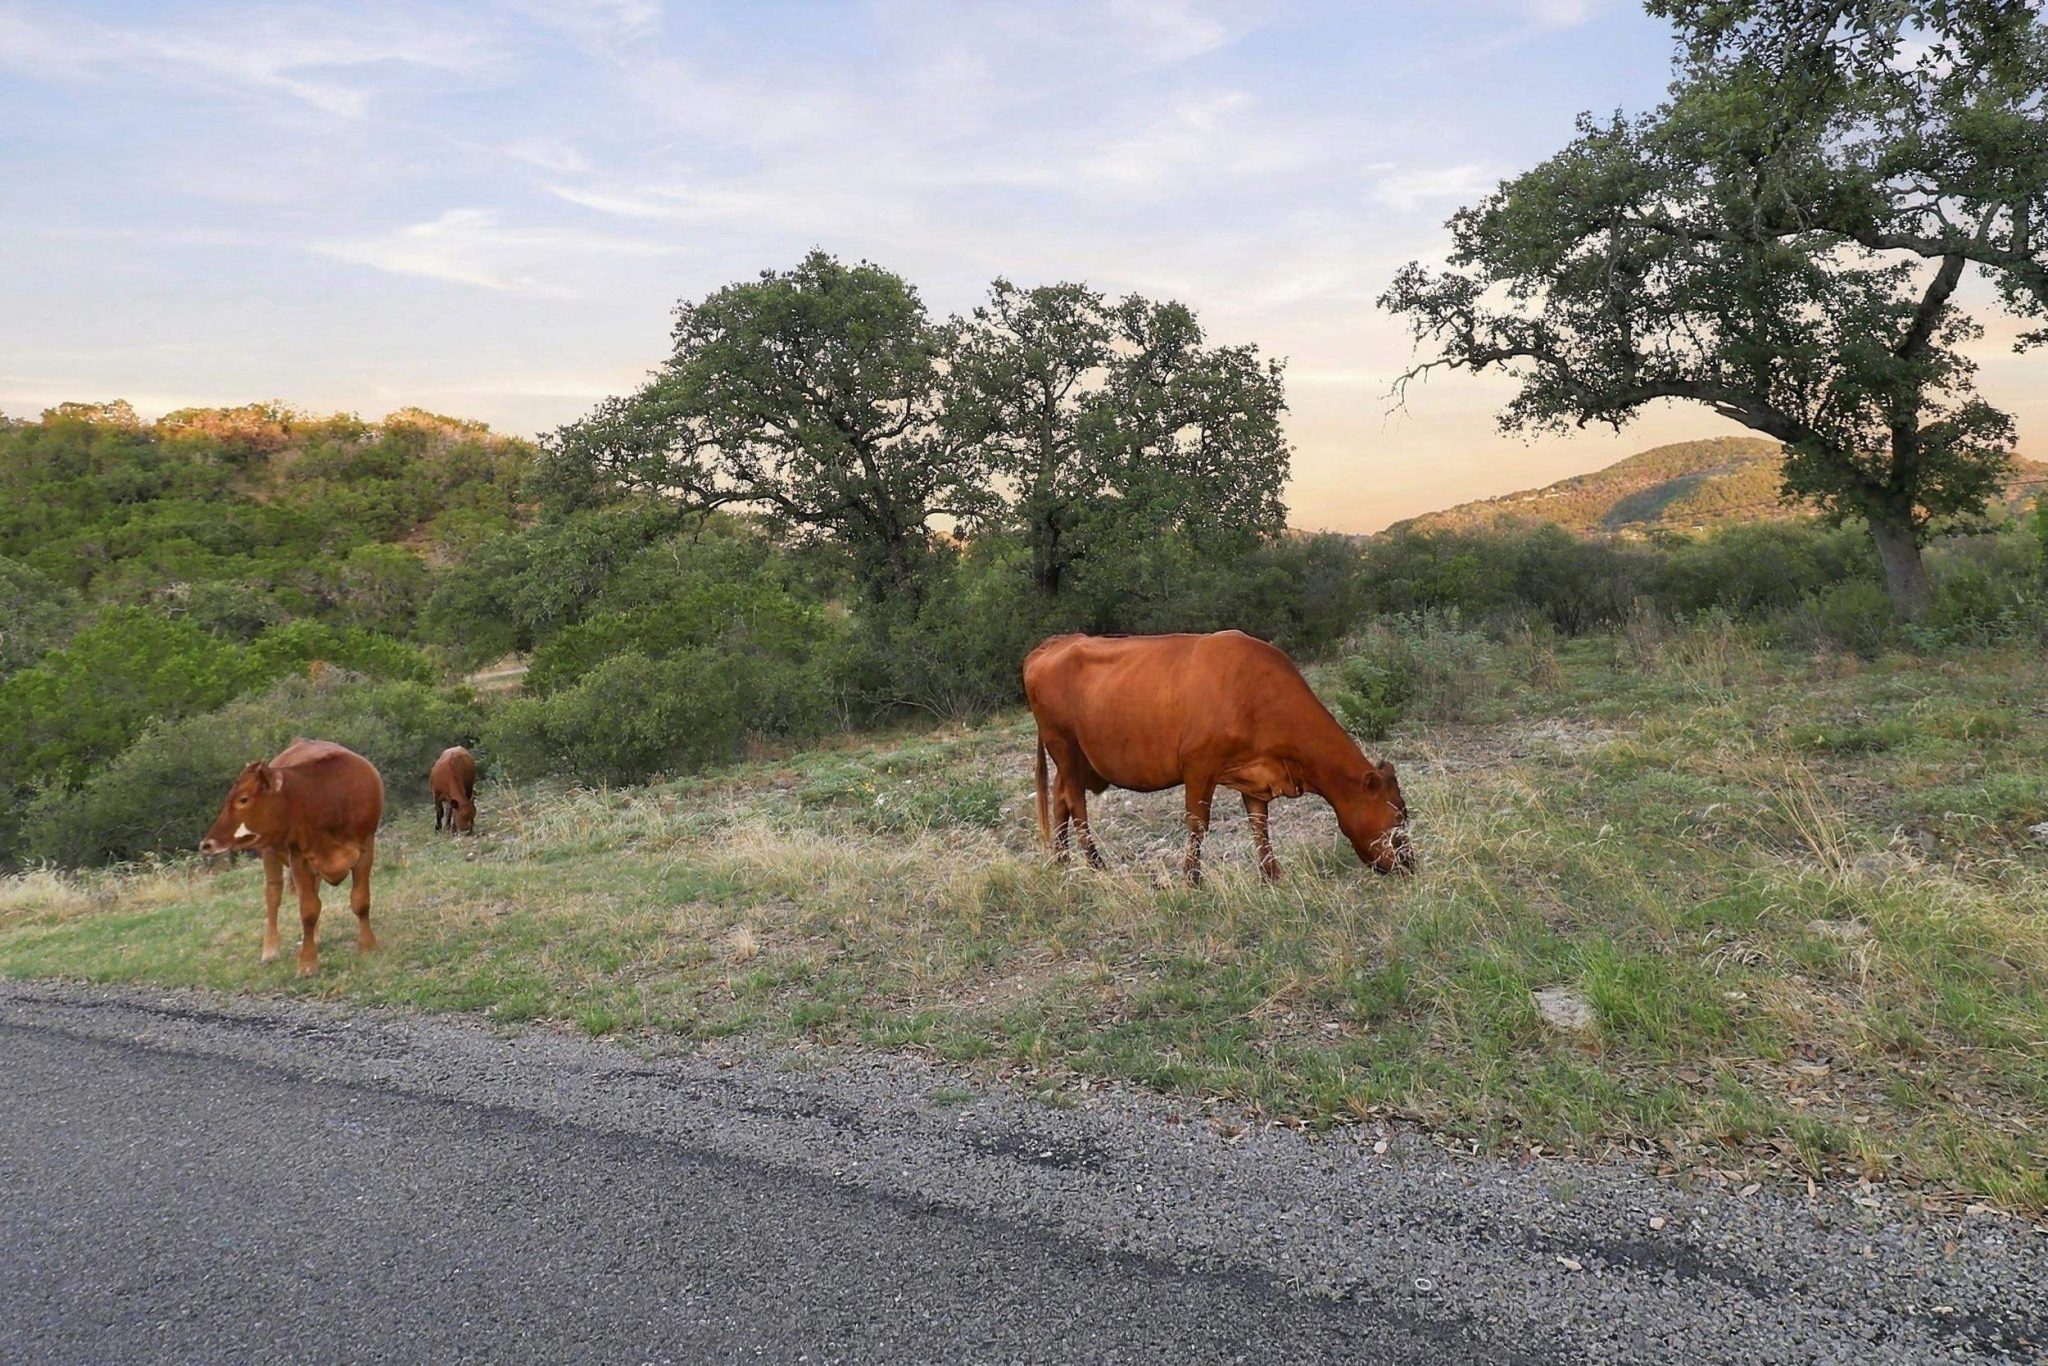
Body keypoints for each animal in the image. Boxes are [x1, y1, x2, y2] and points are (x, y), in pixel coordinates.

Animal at [198, 739, 385, 976]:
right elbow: (308, 910)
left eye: (243, 799)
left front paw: (368, 947)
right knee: (273, 894)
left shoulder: (366, 847)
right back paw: (270, 951)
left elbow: (360, 900)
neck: (328, 799)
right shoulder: (298, 857)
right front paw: (307, 963)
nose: (207, 844)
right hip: (268, 851)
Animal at [1023, 631, 1413, 884]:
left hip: (1073, 759)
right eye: (1398, 818)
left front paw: (1272, 874)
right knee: (1076, 803)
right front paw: (1192, 879)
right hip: (1065, 746)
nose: (1410, 864)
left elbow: (1259, 824)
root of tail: (1053, 643)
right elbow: (1197, 823)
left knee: (1060, 798)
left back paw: (1062, 860)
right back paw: (1094, 863)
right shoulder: (1199, 764)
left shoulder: (1256, 774)